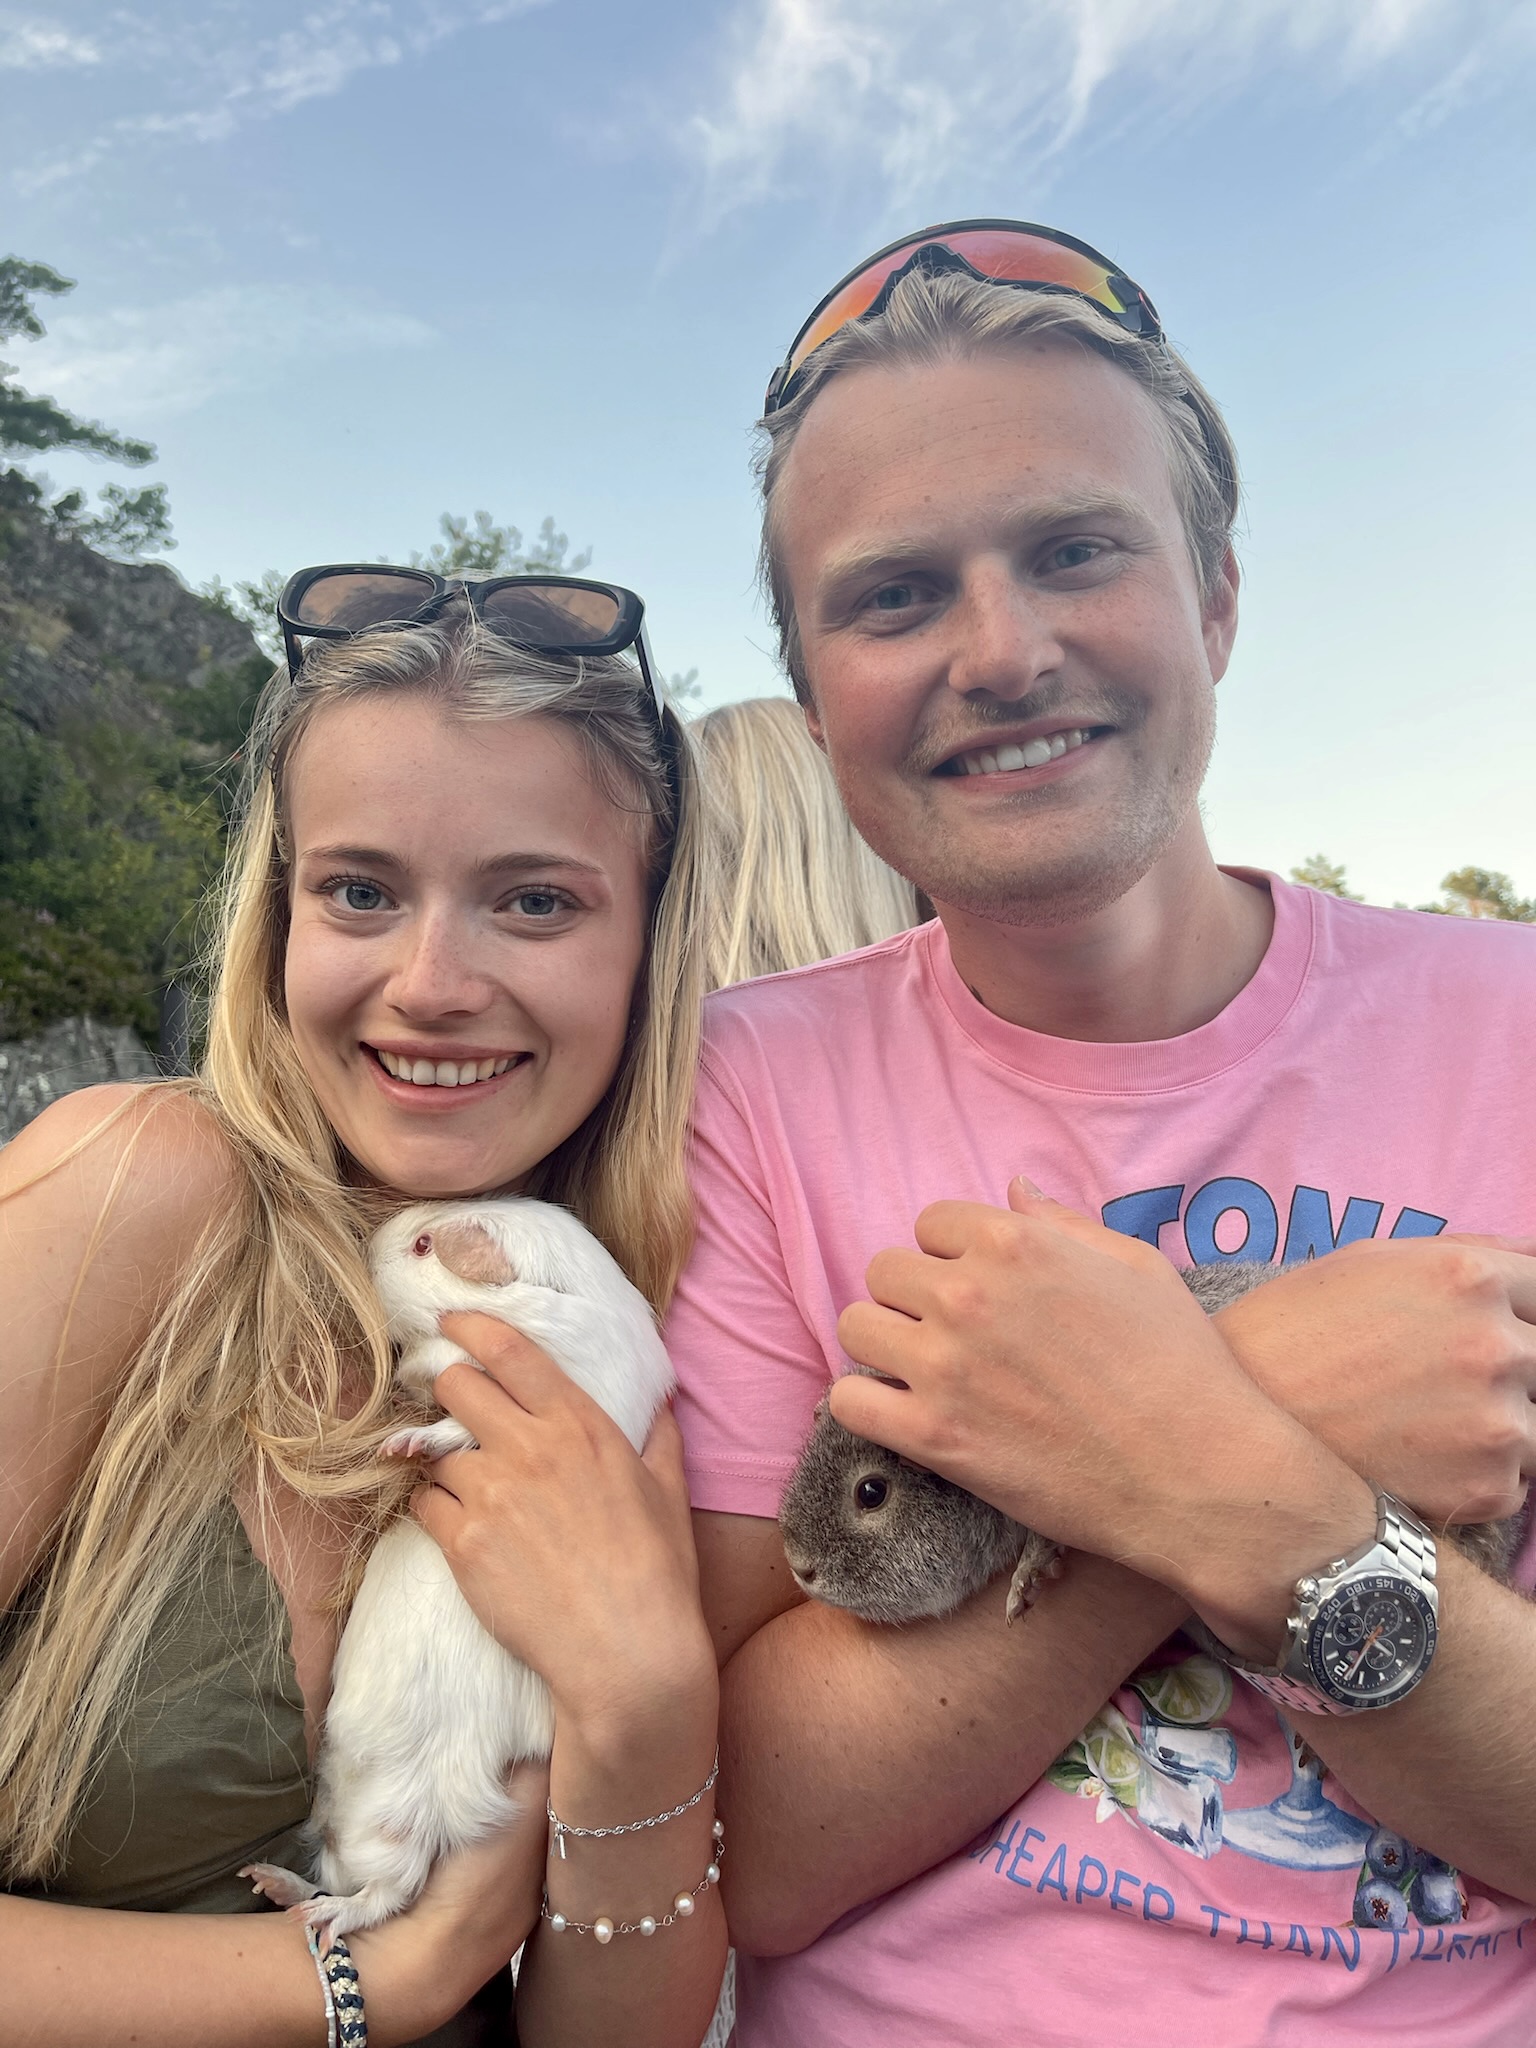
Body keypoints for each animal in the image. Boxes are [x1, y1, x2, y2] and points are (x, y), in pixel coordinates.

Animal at [242, 1196, 675, 1940]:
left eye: (423, 1245)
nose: (369, 1241)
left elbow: (453, 1409)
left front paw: (405, 1440)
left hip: (404, 1819)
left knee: (378, 1897)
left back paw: (304, 1909)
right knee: (341, 1879)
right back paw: (271, 1884)